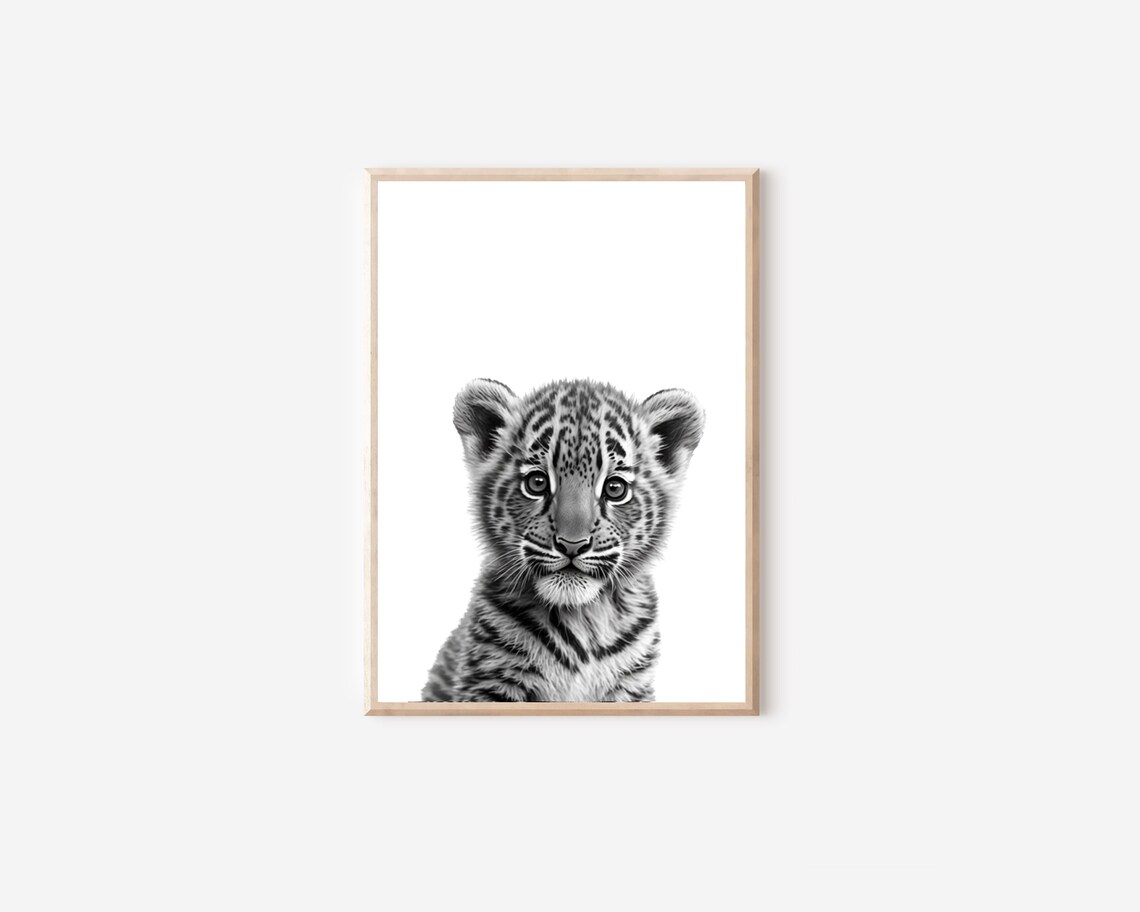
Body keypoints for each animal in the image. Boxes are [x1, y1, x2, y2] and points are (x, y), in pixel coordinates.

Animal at [422, 378, 704, 703]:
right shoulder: (490, 683)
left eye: (615, 488)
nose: (572, 545)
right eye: (537, 483)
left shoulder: (629, 689)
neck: (583, 620)